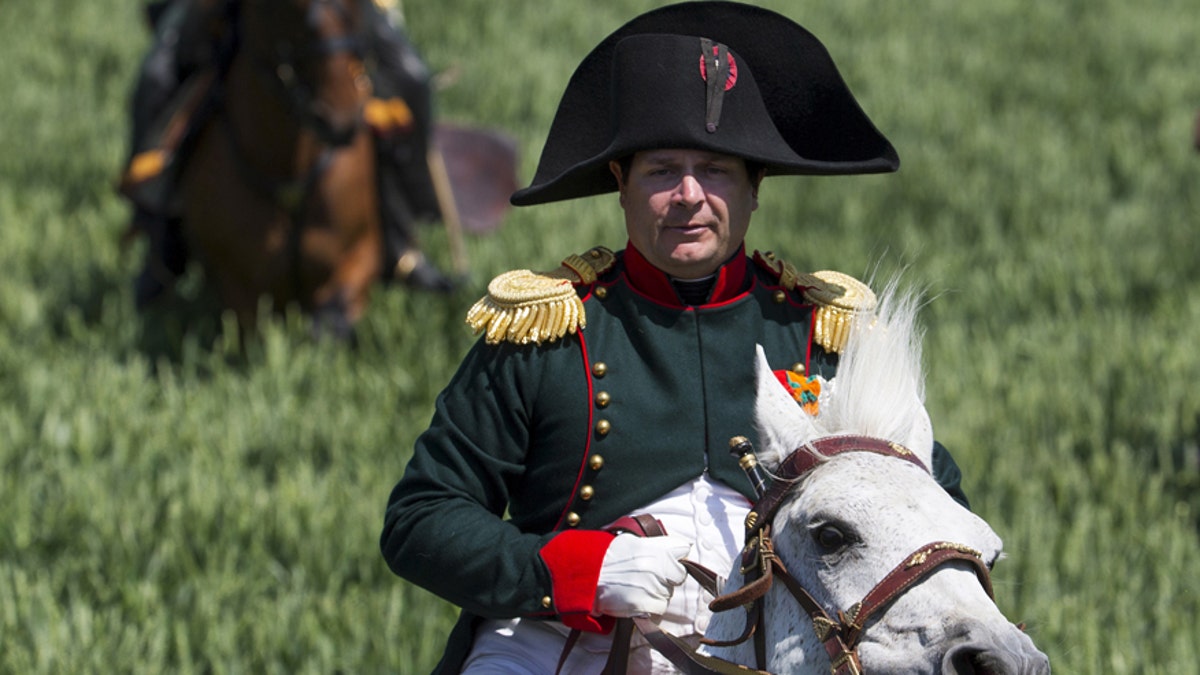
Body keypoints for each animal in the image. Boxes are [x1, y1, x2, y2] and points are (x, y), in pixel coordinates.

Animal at [180, 0, 379, 336]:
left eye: (359, 8)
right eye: (279, 9)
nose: (340, 120)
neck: (288, 173)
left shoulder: (363, 252)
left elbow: (334, 315)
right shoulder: (240, 291)